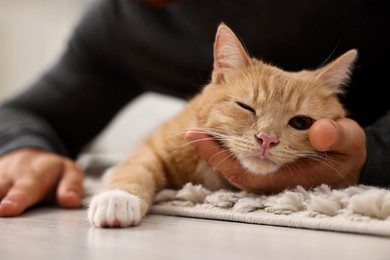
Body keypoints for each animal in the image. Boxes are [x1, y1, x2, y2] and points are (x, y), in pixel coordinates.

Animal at [87, 23, 356, 228]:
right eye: (246, 107)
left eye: (300, 122)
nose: (267, 139)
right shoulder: (157, 146)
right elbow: (136, 167)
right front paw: (117, 199)